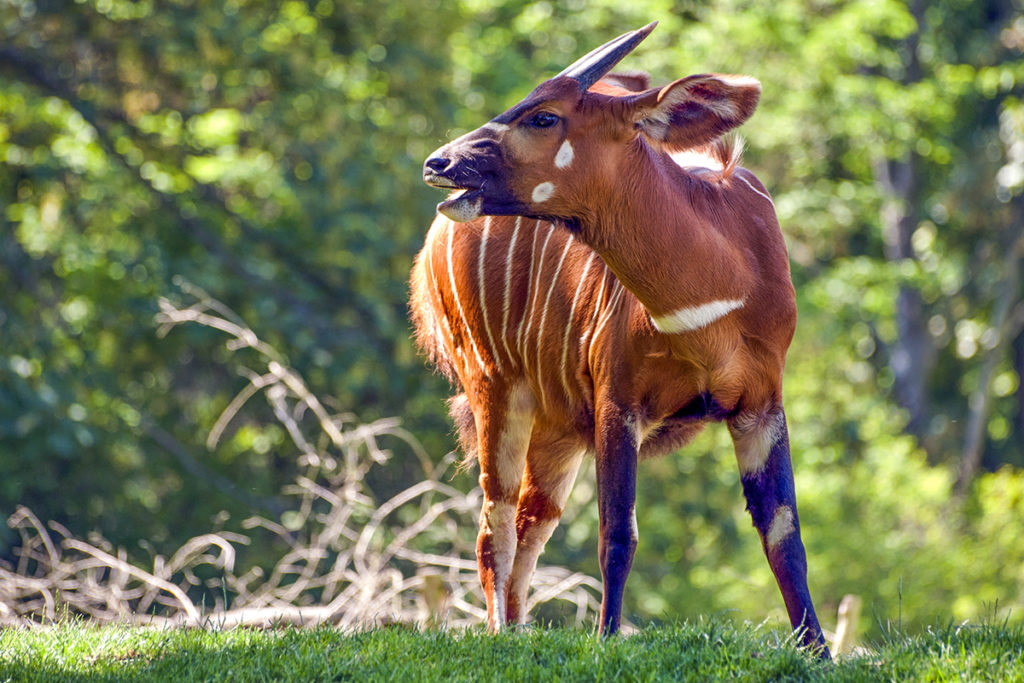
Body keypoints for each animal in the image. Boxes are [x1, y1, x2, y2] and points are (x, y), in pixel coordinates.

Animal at [411, 22, 827, 655]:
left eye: (544, 116)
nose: (441, 161)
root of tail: (435, 236)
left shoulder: (761, 403)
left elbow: (784, 535)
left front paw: (819, 651)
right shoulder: (618, 401)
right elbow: (617, 533)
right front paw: (607, 639)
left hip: (557, 429)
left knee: (531, 522)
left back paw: (521, 634)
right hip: (494, 384)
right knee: (494, 525)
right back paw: (501, 636)